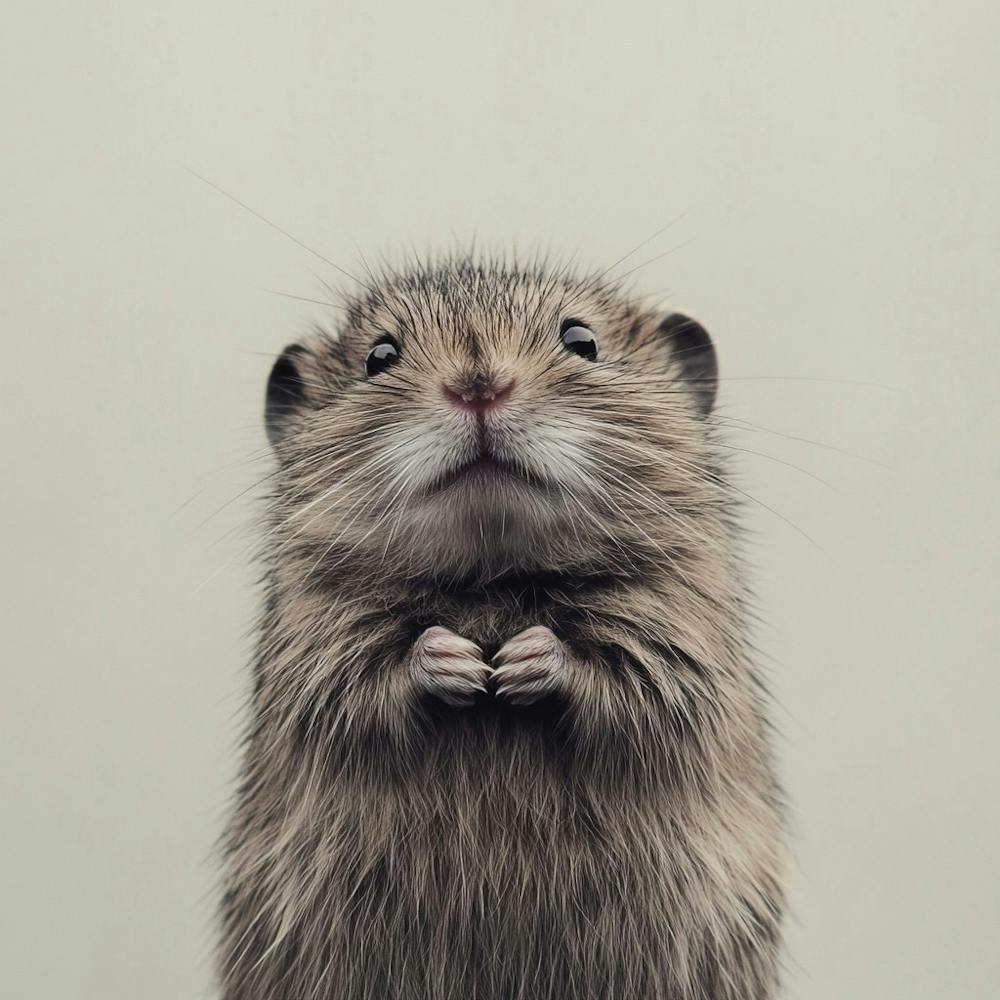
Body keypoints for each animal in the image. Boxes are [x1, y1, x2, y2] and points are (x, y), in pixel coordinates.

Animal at [218, 255, 785, 999]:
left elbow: (634, 683)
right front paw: (460, 663)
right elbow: (363, 686)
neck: (492, 575)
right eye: (379, 357)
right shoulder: (314, 652)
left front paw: (519, 663)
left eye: (582, 340)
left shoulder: (681, 640)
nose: (478, 387)